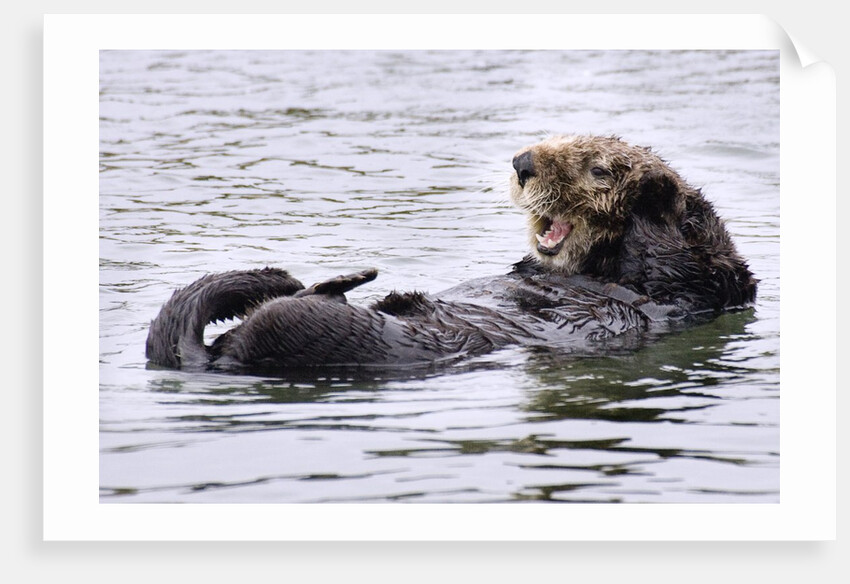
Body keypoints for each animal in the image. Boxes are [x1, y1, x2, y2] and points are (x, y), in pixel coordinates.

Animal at [145, 135, 757, 374]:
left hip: (328, 337)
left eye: (597, 169)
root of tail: (218, 359)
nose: (523, 162)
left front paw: (653, 188)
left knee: (290, 313)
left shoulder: (689, 289)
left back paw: (346, 283)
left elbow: (681, 255)